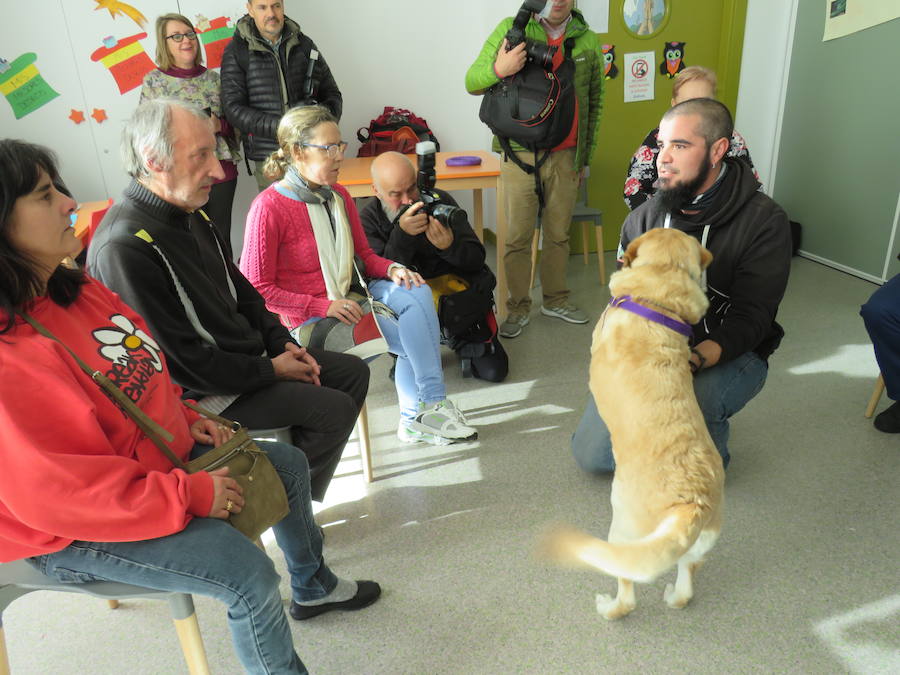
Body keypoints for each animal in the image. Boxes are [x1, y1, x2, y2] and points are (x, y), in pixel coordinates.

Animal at [536, 230, 720, 620]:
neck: (659, 301)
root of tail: (690, 502)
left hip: (622, 531)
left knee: (627, 591)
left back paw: (609, 607)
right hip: (692, 549)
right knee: (686, 583)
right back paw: (674, 596)